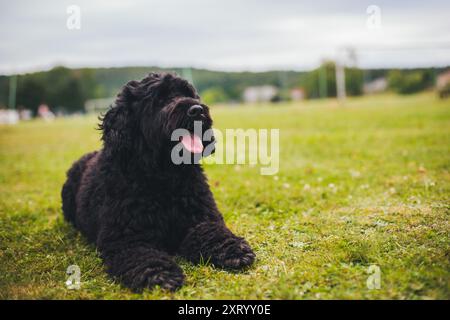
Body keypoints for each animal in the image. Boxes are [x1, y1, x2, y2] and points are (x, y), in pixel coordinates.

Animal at [61, 73, 255, 292]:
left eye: (188, 93)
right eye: (160, 99)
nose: (196, 110)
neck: (164, 178)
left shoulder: (202, 219)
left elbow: (212, 233)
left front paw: (232, 249)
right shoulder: (126, 238)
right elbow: (144, 257)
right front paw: (159, 274)